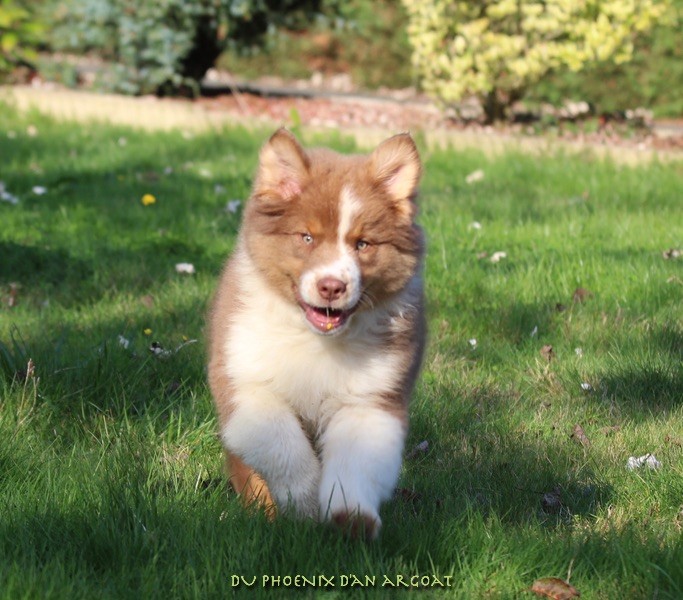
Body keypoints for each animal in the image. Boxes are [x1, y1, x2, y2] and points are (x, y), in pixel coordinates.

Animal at [207, 129, 425, 539]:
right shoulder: (247, 381)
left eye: (363, 244)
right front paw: (304, 507)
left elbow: (356, 462)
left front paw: (350, 518)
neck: (316, 341)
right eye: (306, 238)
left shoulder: (370, 397)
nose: (331, 287)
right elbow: (284, 447)